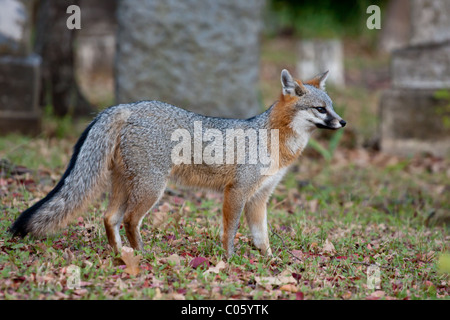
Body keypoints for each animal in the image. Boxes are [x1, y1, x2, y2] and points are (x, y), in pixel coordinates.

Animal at [10, 69, 346, 258]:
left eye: (332, 107)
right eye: (320, 109)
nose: (343, 122)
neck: (271, 137)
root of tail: (127, 106)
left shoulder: (259, 197)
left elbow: (262, 237)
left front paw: (270, 262)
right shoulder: (236, 192)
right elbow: (230, 231)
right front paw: (229, 260)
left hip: (126, 184)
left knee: (109, 218)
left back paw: (122, 254)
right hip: (152, 188)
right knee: (129, 220)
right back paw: (143, 254)